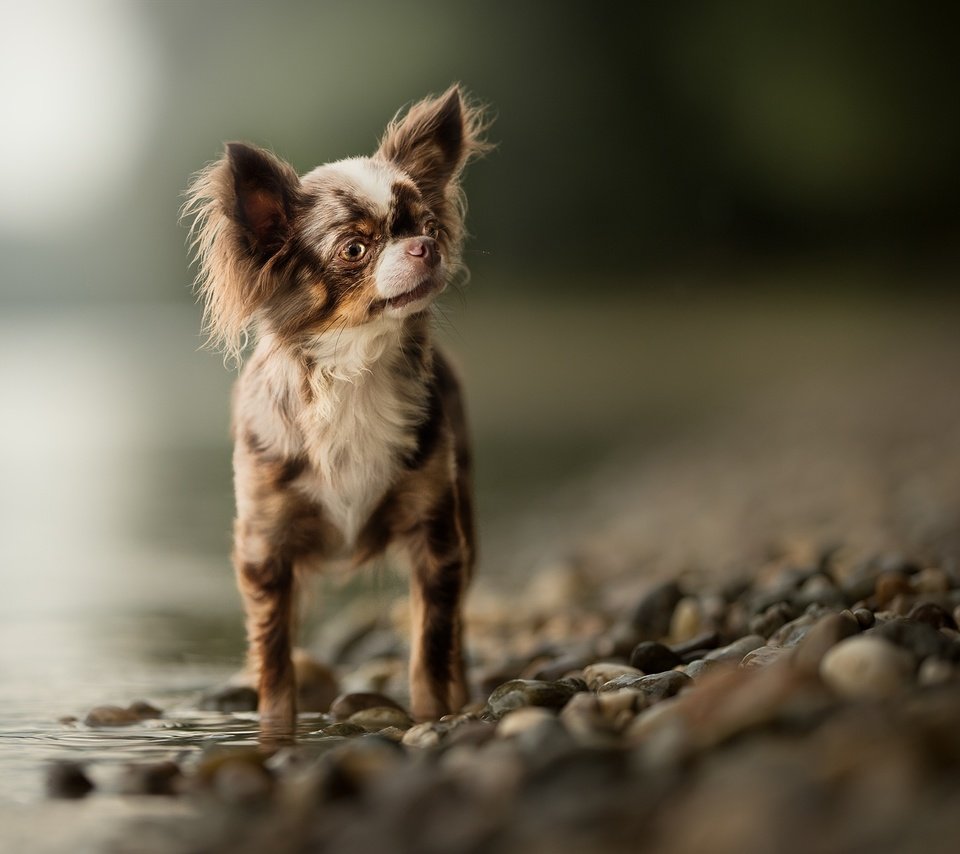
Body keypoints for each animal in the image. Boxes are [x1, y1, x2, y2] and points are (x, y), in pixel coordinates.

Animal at [185, 85, 492, 728]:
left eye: (428, 225)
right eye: (355, 248)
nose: (425, 247)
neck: (355, 374)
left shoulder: (437, 539)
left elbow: (432, 644)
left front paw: (435, 716)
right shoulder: (266, 551)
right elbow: (274, 662)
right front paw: (276, 729)